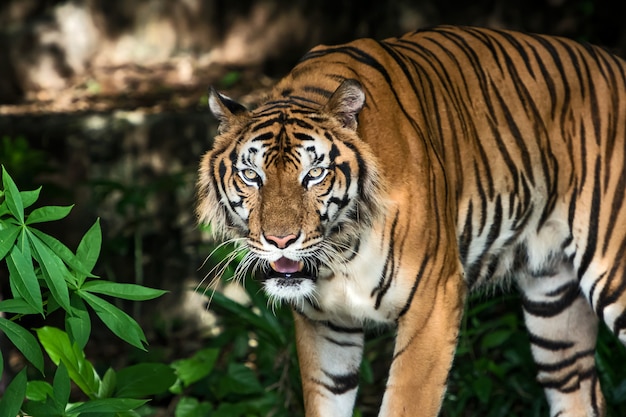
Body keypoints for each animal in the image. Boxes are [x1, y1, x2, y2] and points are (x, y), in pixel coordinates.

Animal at [195, 26, 624, 416]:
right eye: (251, 175)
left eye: (314, 174)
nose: (280, 241)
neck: (340, 251)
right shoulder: (325, 324)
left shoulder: (435, 301)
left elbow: (405, 402)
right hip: (554, 309)